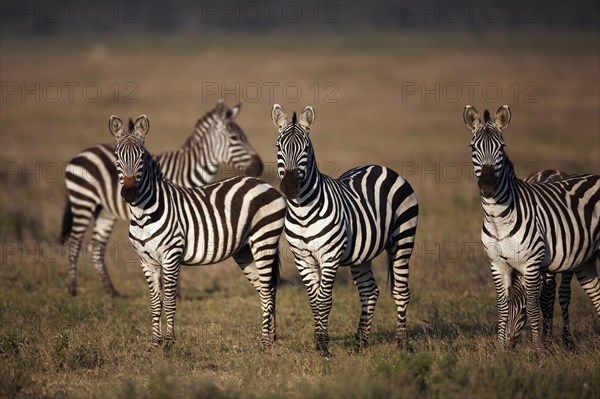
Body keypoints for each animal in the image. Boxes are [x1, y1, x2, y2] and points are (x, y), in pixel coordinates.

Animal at [60, 101, 262, 298]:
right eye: (235, 139)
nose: (258, 166)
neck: (187, 171)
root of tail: (81, 153)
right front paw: (176, 293)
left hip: (105, 211)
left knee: (96, 247)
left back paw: (111, 291)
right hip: (83, 201)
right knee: (74, 243)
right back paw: (72, 289)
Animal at [109, 114, 286, 352]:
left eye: (141, 157)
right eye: (117, 157)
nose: (129, 193)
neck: (142, 213)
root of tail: (265, 184)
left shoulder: (171, 256)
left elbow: (170, 300)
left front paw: (169, 342)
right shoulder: (146, 261)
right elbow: (155, 303)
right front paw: (155, 343)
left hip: (264, 241)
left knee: (267, 291)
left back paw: (265, 344)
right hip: (245, 250)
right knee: (266, 289)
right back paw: (271, 338)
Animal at [272, 104, 418, 354]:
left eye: (306, 148)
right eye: (278, 147)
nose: (289, 187)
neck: (302, 212)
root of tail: (381, 167)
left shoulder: (330, 257)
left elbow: (324, 300)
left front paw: (322, 345)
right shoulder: (303, 258)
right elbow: (314, 300)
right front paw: (318, 341)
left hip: (403, 242)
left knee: (400, 292)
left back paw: (401, 343)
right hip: (362, 255)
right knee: (369, 291)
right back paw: (360, 342)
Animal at [464, 105, 600, 350]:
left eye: (501, 147)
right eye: (473, 147)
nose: (488, 186)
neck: (498, 218)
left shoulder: (532, 262)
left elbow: (537, 304)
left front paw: (539, 349)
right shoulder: (497, 263)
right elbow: (502, 305)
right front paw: (500, 349)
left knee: (562, 293)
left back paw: (565, 340)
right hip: (586, 259)